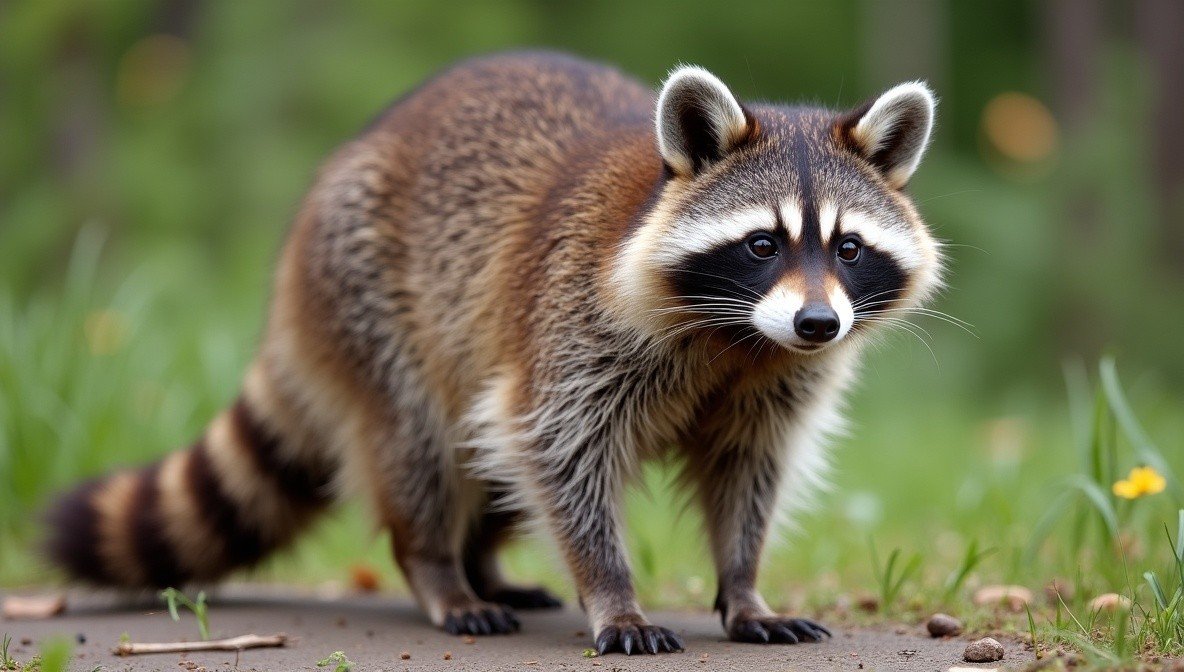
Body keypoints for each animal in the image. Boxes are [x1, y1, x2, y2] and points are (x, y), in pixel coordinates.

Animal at [46, 52, 942, 655]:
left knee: (494, 460)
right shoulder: (573, 322)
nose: (818, 324)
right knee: (424, 443)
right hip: (371, 303)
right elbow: (564, 450)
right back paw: (439, 568)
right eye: (763, 244)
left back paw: (482, 561)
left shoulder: (776, 383)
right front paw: (612, 591)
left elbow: (748, 471)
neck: (741, 339)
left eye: (849, 248)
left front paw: (744, 584)